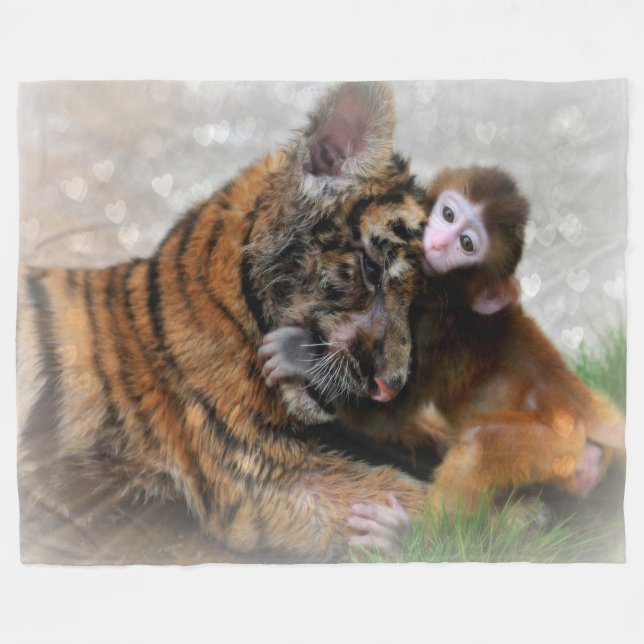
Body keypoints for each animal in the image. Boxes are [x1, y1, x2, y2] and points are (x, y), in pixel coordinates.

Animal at [259, 165, 625, 551]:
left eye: (466, 244)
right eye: (448, 214)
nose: (435, 243)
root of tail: (585, 403)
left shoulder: (425, 329)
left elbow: (382, 419)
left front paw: (301, 356)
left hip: (560, 443)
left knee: (480, 441)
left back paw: (413, 538)